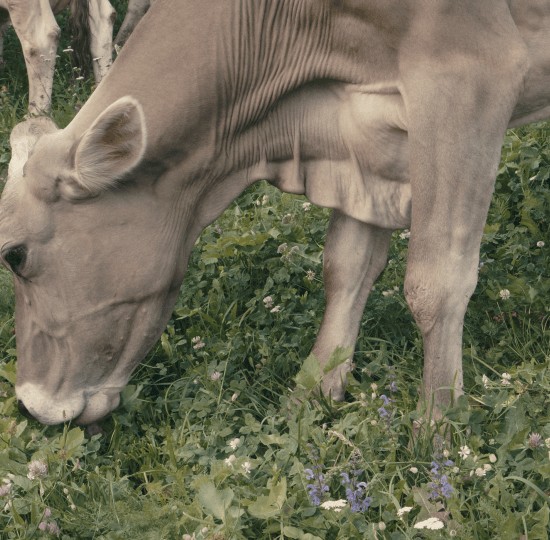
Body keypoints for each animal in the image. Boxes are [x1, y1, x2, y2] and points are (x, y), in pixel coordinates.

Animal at [1, 0, 550, 426]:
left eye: (14, 255)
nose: (29, 404)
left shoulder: (469, 74)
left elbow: (435, 285)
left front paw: (438, 433)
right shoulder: (362, 138)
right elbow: (346, 267)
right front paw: (310, 396)